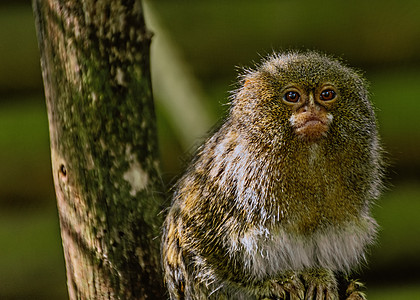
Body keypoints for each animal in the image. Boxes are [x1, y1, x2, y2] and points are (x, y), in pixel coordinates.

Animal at [162, 50, 384, 298]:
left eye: (327, 94)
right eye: (292, 96)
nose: (312, 111)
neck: (309, 154)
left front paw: (319, 274)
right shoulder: (230, 176)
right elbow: (194, 232)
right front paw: (268, 283)